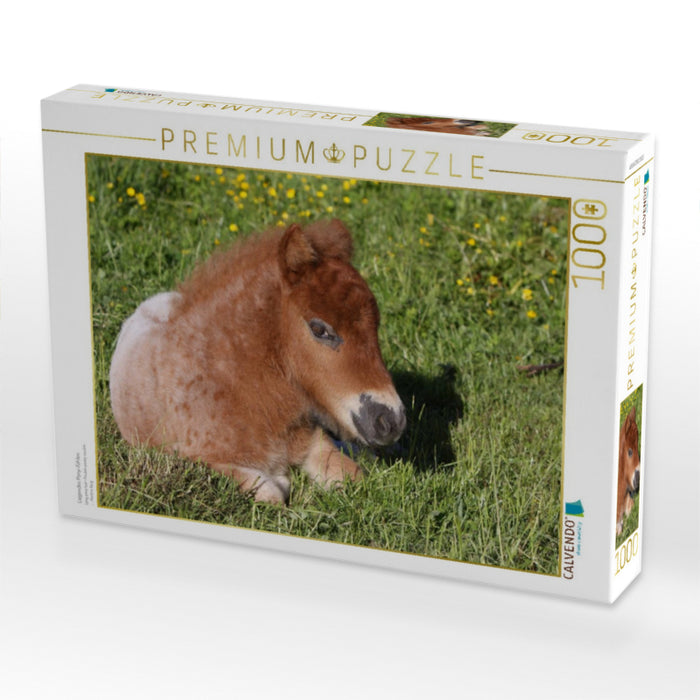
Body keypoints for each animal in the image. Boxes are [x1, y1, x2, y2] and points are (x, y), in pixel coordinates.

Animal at [109, 219, 406, 504]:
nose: (391, 421)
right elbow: (271, 494)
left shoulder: (310, 439)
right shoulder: (200, 459)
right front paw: (283, 481)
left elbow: (352, 476)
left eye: (376, 325)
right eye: (319, 329)